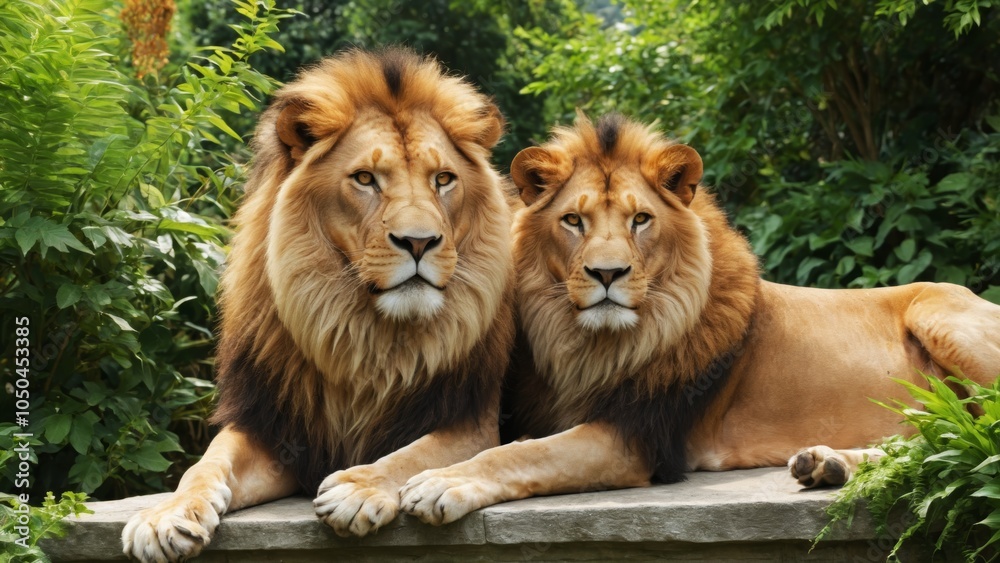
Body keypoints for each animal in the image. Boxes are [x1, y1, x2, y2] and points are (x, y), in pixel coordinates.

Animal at [121, 48, 515, 562]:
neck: (365, 336)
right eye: (365, 179)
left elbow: (413, 454)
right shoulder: (271, 426)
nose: (419, 242)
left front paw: (357, 488)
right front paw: (164, 515)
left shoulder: (472, 424)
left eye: (443, 179)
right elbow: (204, 465)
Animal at [397, 113, 1000, 525]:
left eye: (641, 219)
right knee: (937, 432)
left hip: (942, 314)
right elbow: (499, 442)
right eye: (573, 221)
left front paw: (438, 484)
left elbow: (519, 453)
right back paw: (826, 463)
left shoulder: (640, 437)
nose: (608, 274)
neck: (587, 342)